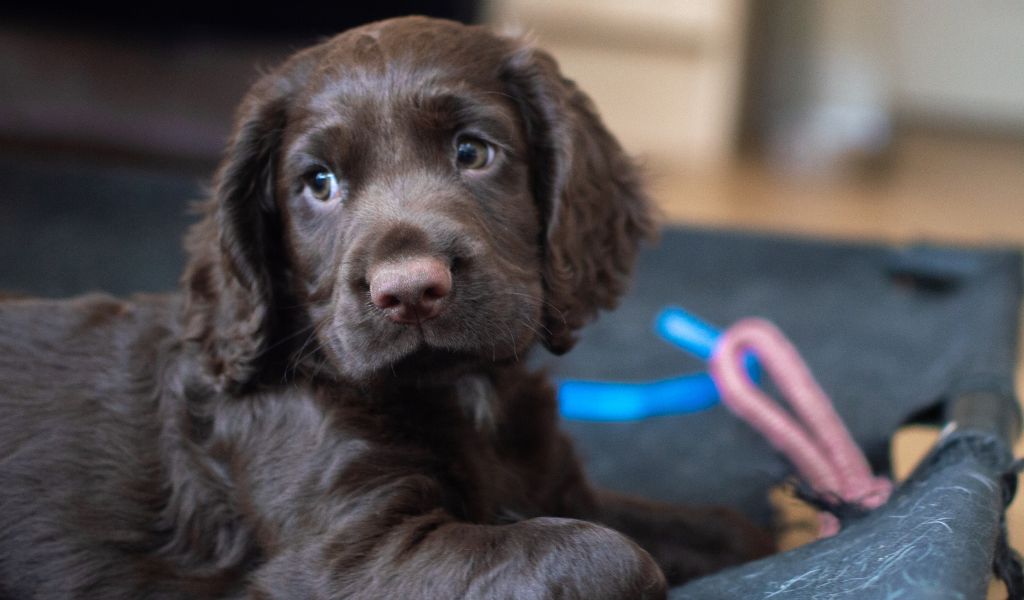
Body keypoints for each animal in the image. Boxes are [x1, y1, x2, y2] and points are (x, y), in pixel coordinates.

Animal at [0, 16, 770, 593]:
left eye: (472, 152)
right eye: (319, 183)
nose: (409, 291)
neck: (460, 393)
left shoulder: (549, 483)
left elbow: (701, 525)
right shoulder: (353, 555)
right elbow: (602, 551)